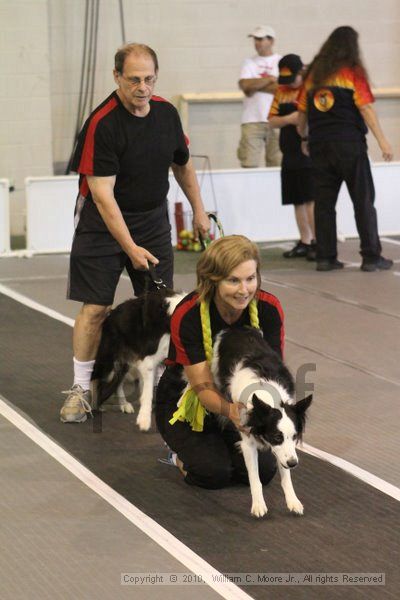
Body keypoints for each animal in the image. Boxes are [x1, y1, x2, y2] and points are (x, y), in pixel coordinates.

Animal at [94, 288, 186, 428]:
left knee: (119, 382)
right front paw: (144, 419)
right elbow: (147, 390)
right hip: (110, 361)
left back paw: (124, 404)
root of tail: (110, 315)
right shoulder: (148, 360)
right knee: (104, 380)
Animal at [211, 326, 310, 516]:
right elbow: (255, 477)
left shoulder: (285, 451)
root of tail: (236, 328)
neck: (268, 397)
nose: (293, 464)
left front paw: (293, 501)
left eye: (295, 437)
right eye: (276, 437)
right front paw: (258, 505)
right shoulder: (247, 440)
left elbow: (285, 475)